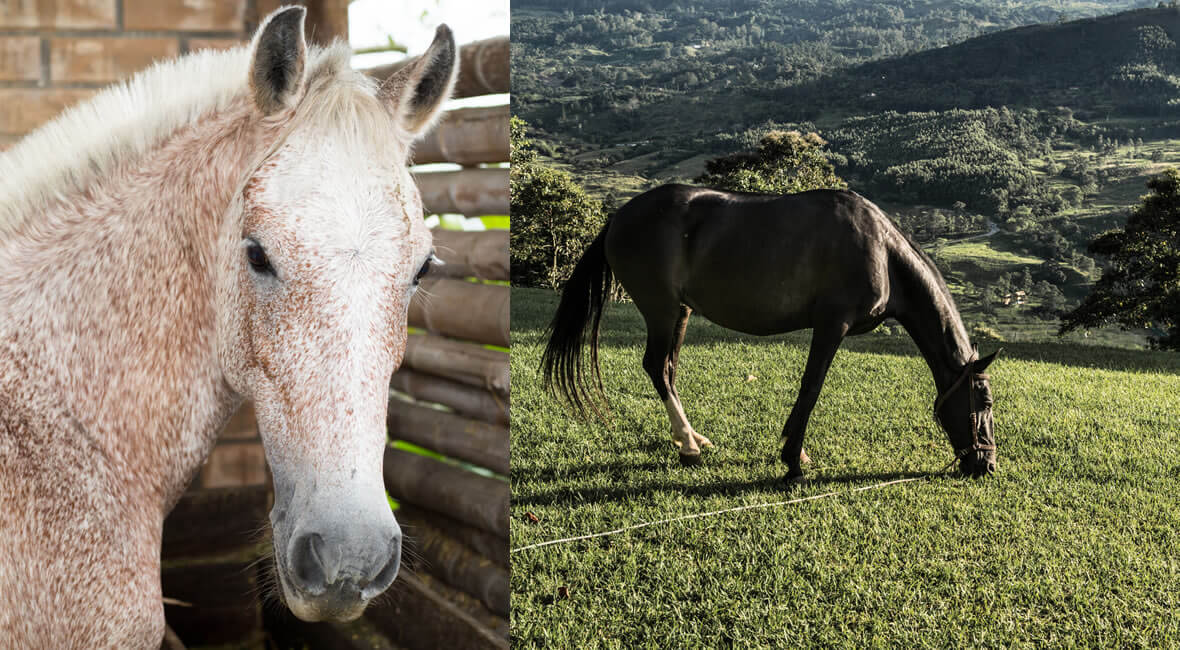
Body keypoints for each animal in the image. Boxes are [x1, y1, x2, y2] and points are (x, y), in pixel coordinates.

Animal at [542, 183, 998, 482]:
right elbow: (811, 388)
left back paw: (690, 437)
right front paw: (793, 460)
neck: (882, 252)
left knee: (667, 368)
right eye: (984, 401)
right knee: (656, 366)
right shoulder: (831, 326)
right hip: (661, 310)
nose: (987, 464)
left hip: (680, 313)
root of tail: (617, 218)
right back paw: (689, 446)